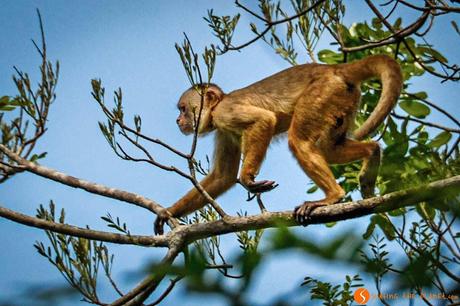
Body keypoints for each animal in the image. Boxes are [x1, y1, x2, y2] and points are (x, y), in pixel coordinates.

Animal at [153, 54, 400, 234]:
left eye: (183, 109)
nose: (178, 120)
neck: (216, 108)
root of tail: (333, 69)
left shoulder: (224, 113)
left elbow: (264, 120)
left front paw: (247, 179)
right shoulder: (223, 129)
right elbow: (223, 176)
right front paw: (169, 212)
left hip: (323, 92)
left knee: (299, 141)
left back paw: (333, 196)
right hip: (344, 97)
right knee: (329, 149)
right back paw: (372, 153)